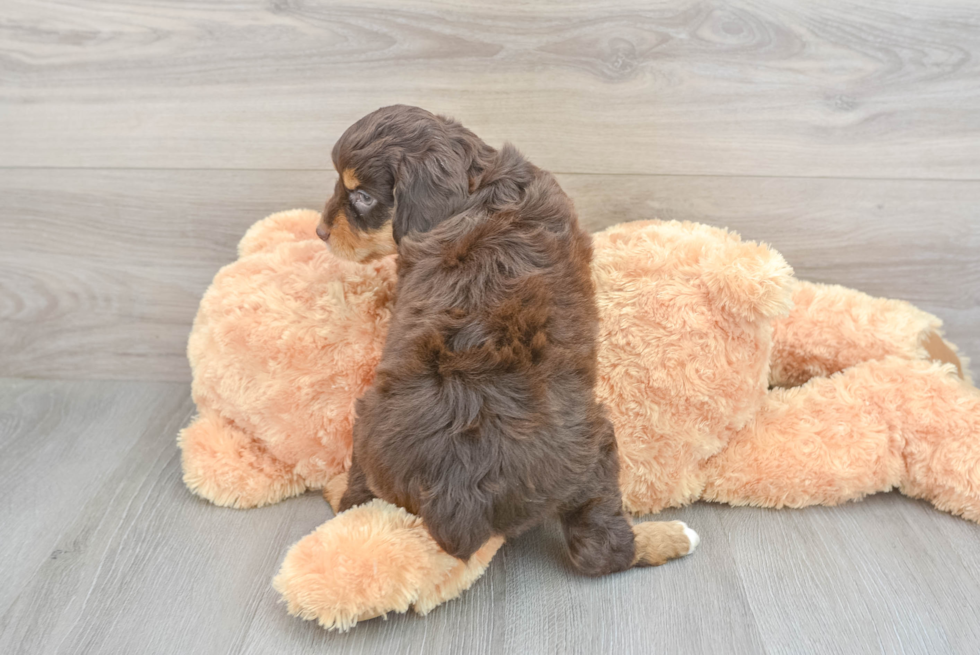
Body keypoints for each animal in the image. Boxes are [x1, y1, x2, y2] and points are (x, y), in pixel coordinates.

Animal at [322, 105, 688, 576]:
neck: (479, 189)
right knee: (600, 548)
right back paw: (668, 537)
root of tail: (458, 483)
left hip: (369, 431)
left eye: (363, 197)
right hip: (594, 451)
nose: (320, 231)